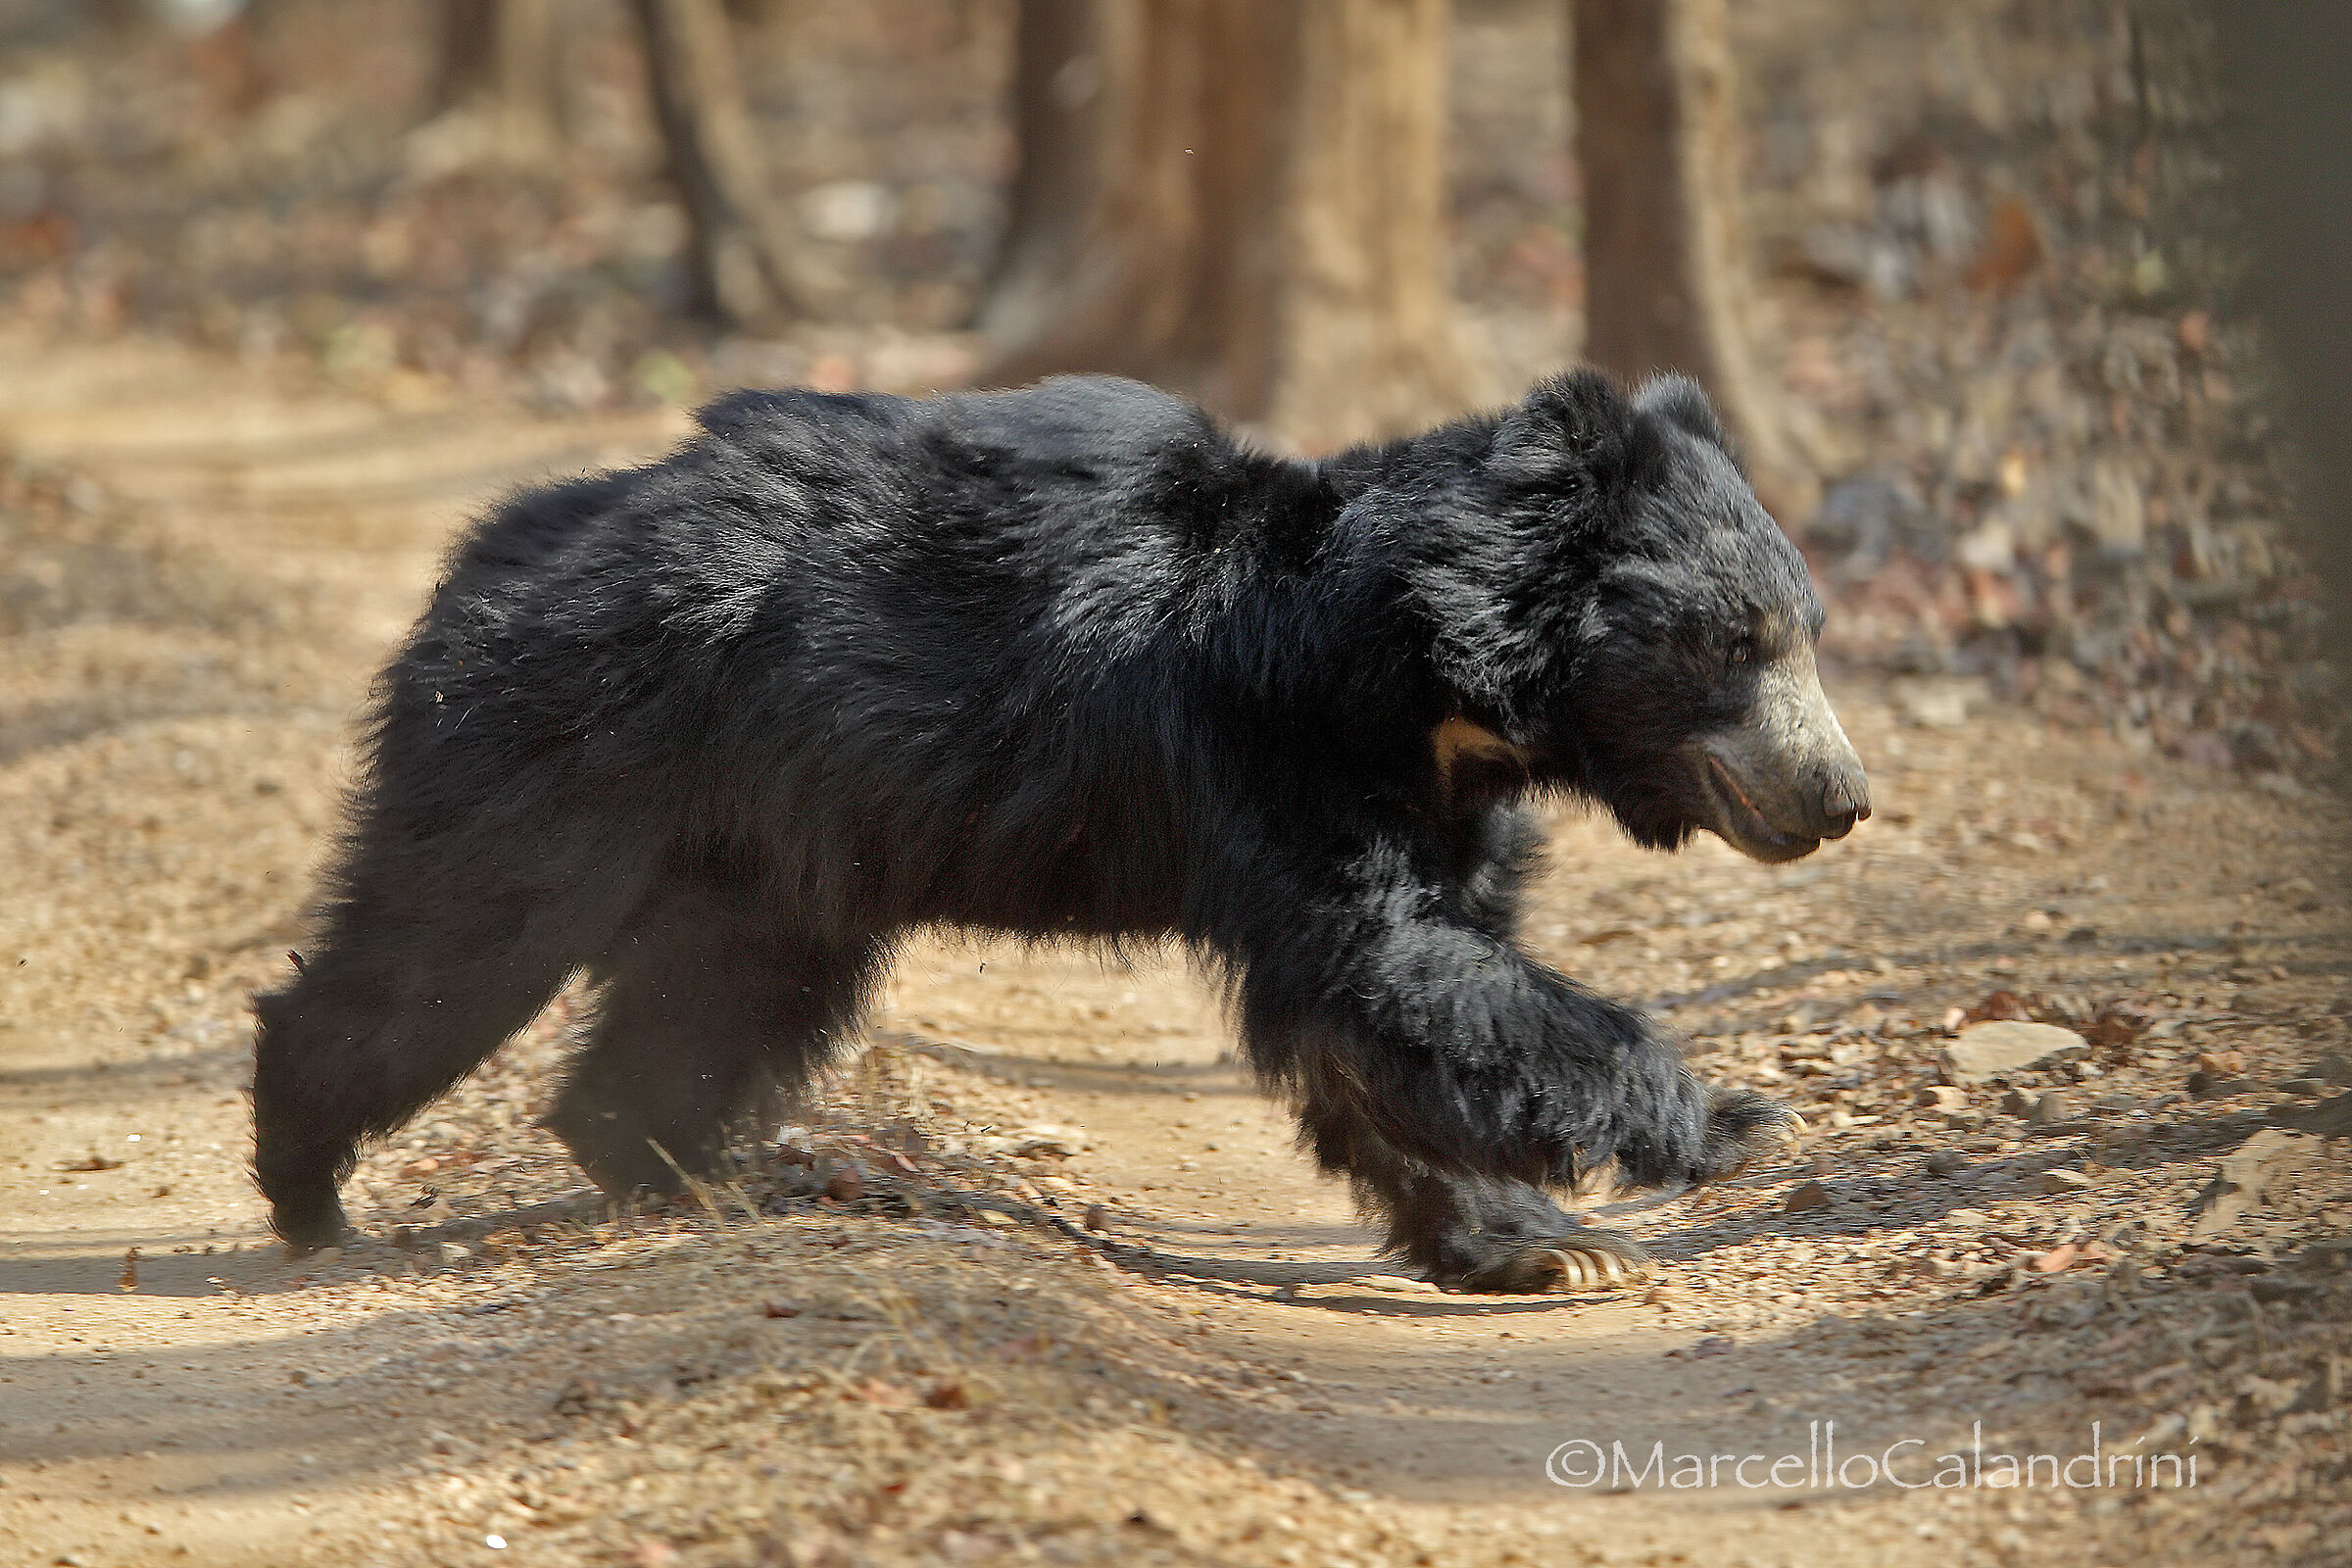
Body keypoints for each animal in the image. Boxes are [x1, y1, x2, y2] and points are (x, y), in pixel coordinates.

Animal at [250, 369, 1870, 1293]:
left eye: (1809, 634)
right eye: (1736, 644)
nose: (1845, 800)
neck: (1434, 686)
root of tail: (496, 549)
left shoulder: (1430, 808)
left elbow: (1387, 1015)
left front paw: (1537, 1249)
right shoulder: (1273, 755)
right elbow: (1399, 977)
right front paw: (1724, 1127)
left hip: (763, 866)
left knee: (702, 1009)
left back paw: (692, 1182)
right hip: (563, 748)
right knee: (446, 952)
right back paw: (312, 1198)